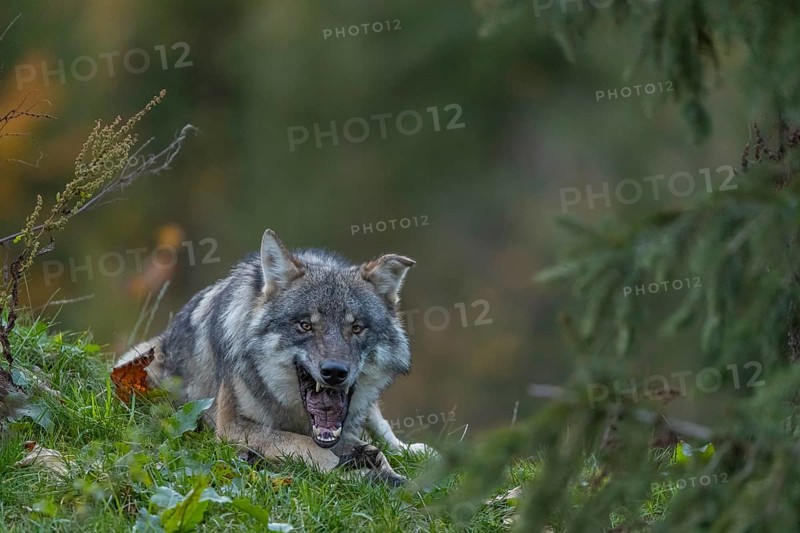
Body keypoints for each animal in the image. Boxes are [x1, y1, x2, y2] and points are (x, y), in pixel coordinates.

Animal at [116, 229, 430, 484]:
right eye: (305, 325)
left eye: (356, 328)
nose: (334, 372)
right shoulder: (231, 426)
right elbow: (305, 445)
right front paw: (350, 468)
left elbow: (374, 445)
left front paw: (388, 469)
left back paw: (415, 450)